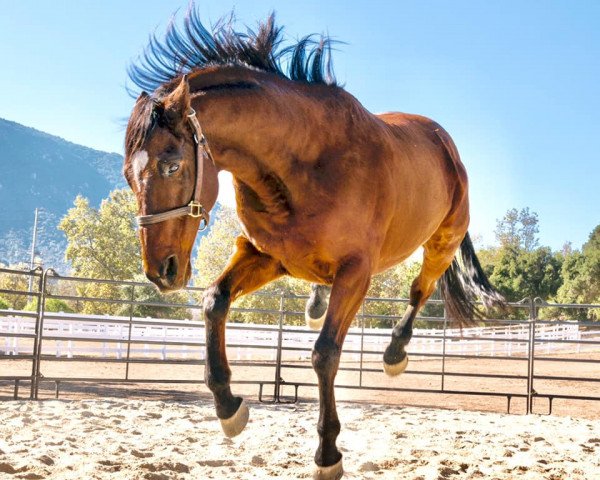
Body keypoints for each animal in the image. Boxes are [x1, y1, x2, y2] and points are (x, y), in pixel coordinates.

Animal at [123, 8, 506, 480]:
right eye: (127, 174)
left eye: (171, 165)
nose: (161, 271)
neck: (303, 162)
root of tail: (444, 144)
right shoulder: (266, 257)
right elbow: (215, 302)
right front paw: (229, 407)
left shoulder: (356, 273)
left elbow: (325, 354)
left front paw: (328, 453)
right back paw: (315, 304)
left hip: (442, 241)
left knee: (421, 289)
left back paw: (394, 353)